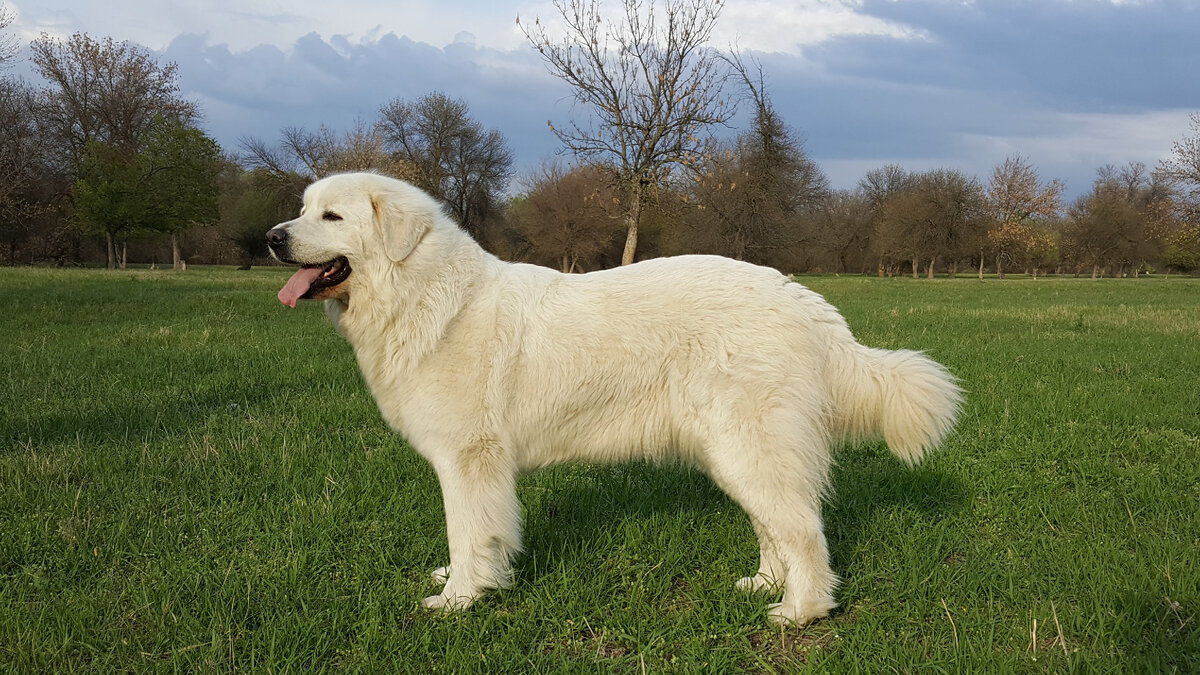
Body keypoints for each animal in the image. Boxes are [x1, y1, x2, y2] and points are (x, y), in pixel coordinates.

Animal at [267, 170, 960, 624]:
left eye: (332, 217)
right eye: (302, 209)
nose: (273, 237)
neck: (425, 296)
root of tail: (803, 299)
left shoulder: (468, 459)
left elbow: (468, 533)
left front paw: (459, 599)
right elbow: (473, 536)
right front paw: (468, 582)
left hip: (749, 445)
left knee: (803, 529)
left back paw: (800, 610)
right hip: (735, 452)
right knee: (776, 524)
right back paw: (762, 583)